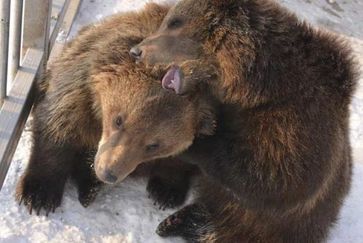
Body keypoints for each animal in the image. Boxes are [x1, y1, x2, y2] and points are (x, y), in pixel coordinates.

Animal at [15, 3, 218, 215]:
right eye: (118, 120)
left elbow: (183, 161)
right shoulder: (79, 90)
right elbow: (57, 128)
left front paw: (166, 191)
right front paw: (38, 194)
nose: (108, 173)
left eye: (154, 145)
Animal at [132, 0, 360, 241]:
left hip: (287, 226)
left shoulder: (296, 127)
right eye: (168, 21)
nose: (136, 51)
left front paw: (196, 144)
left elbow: (272, 176)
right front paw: (164, 186)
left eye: (175, 22)